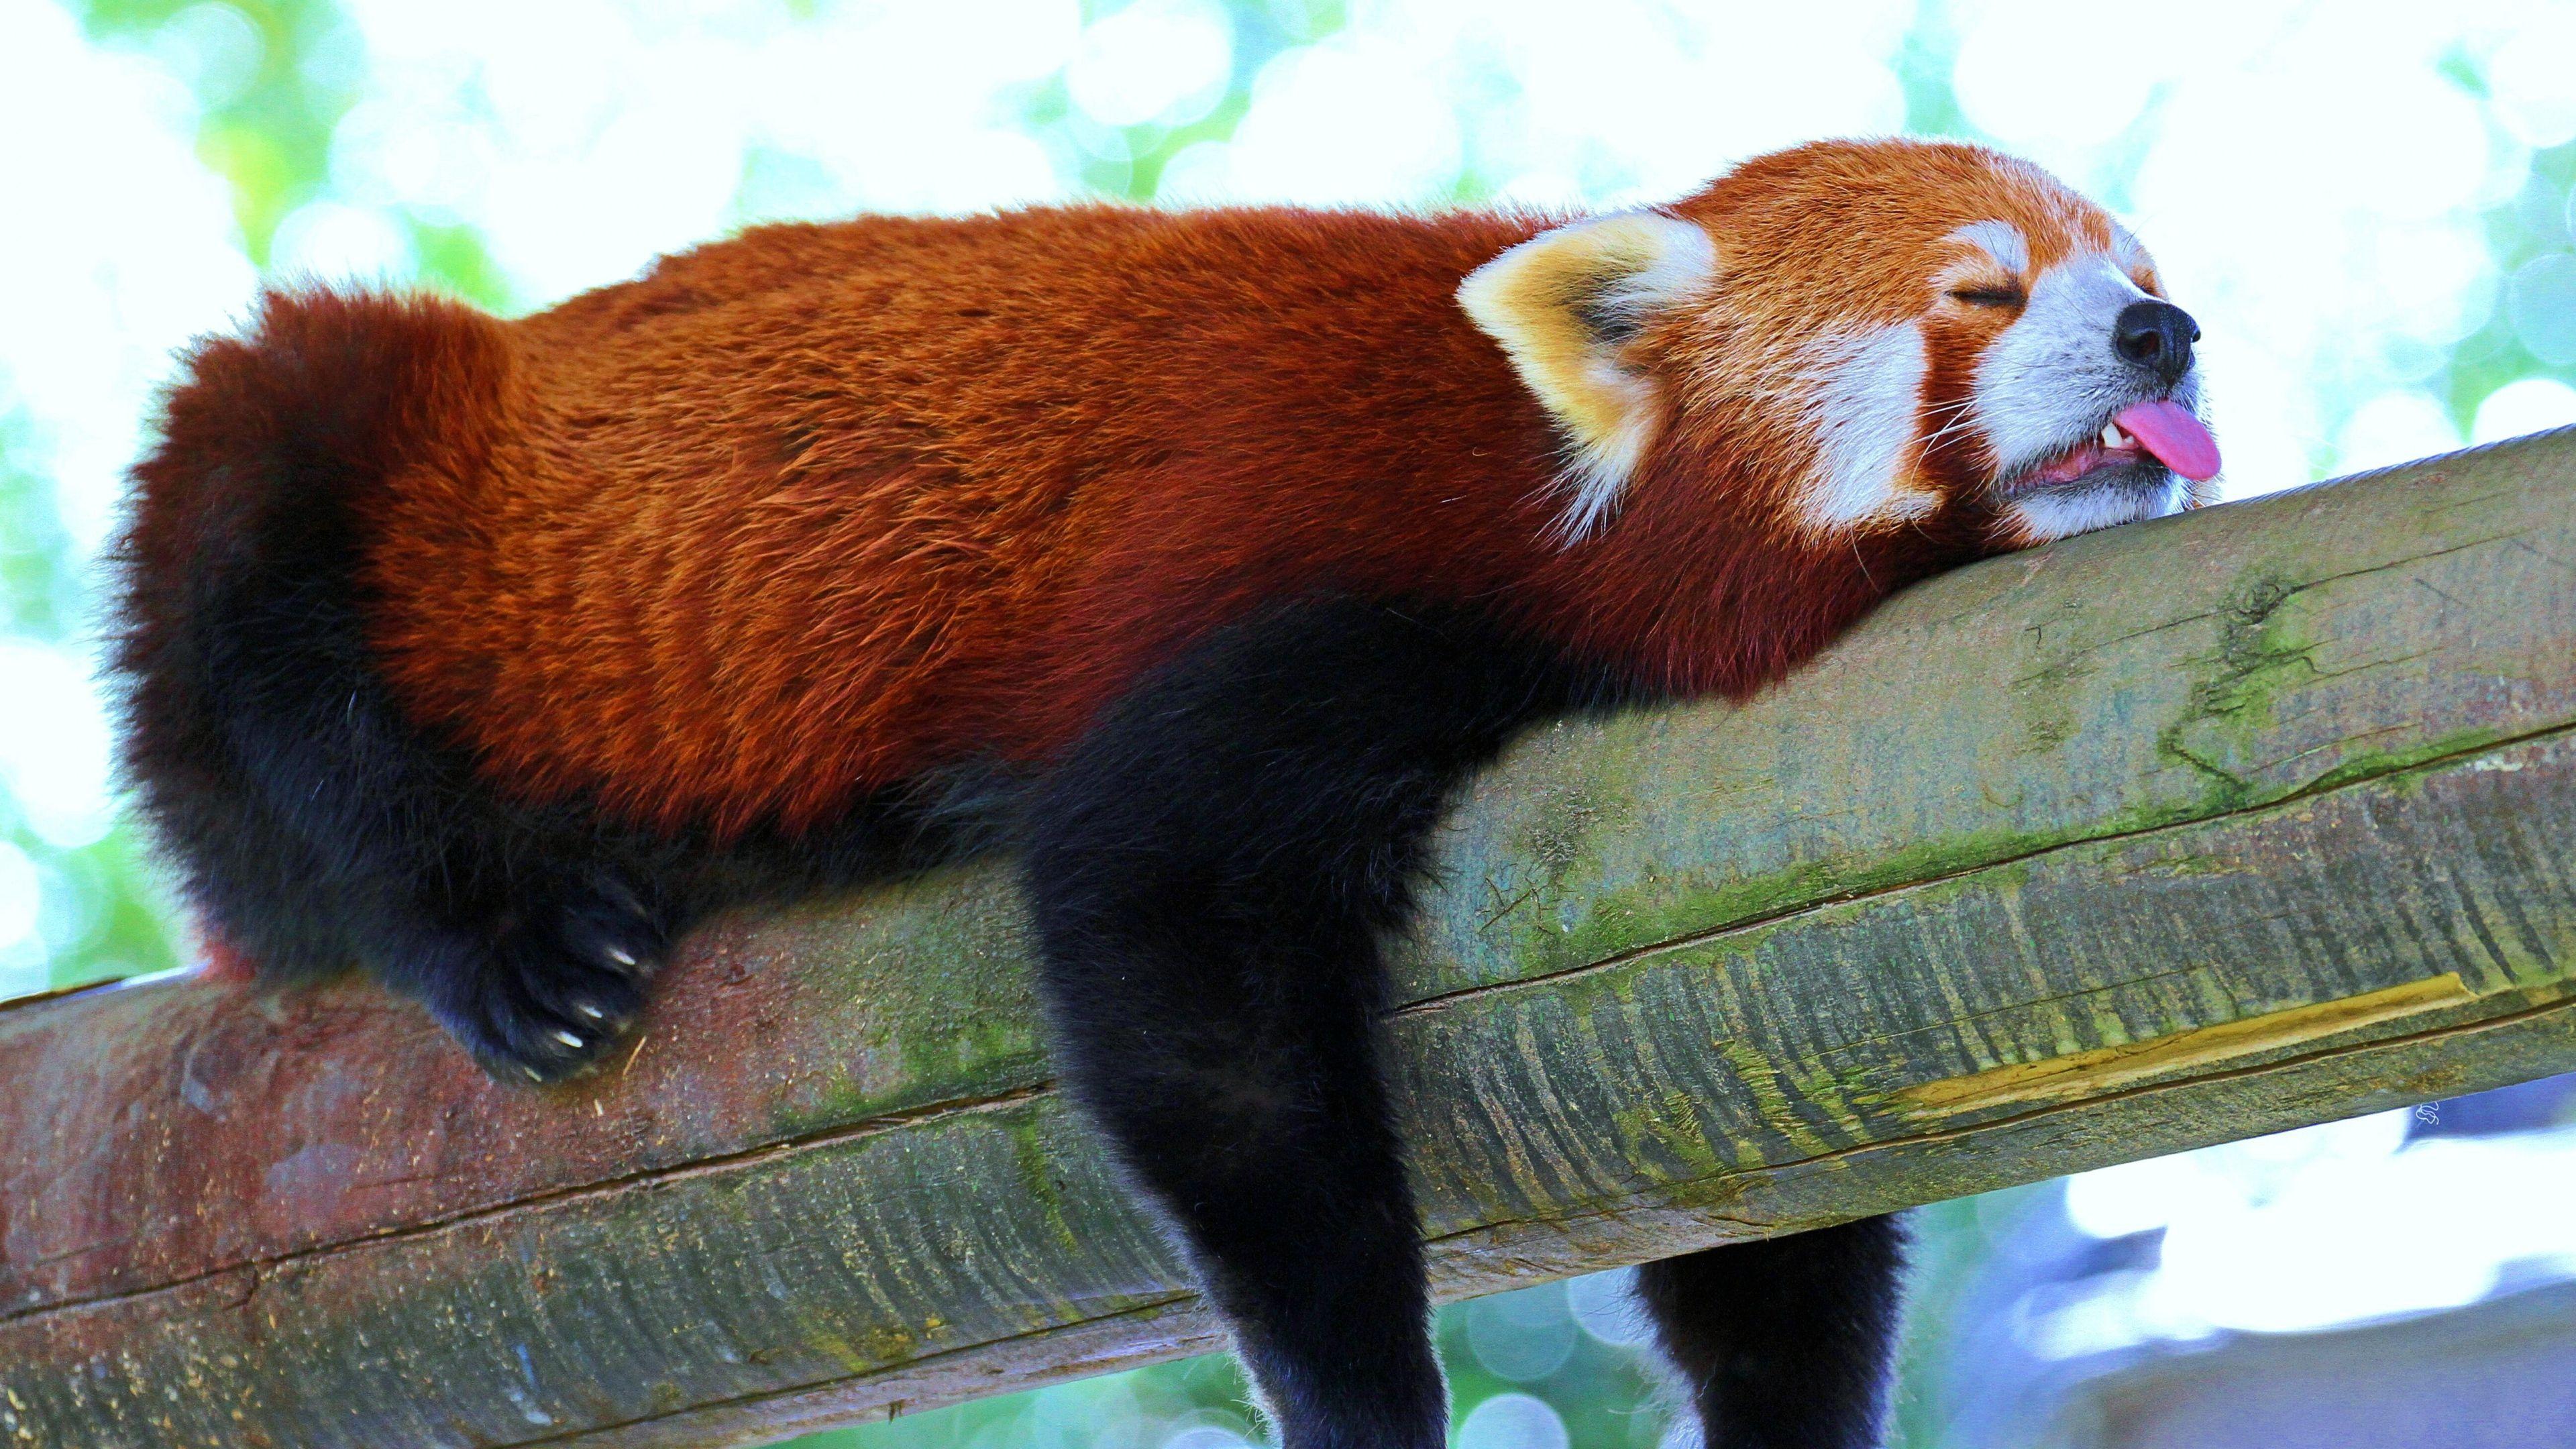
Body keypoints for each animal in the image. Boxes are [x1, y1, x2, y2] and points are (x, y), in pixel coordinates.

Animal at [112, 138, 2217, 1449]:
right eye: (1982, 291)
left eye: (2137, 271)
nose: (2164, 331)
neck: (1537, 473)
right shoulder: (1281, 576)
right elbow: (1181, 973)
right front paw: (1361, 1394)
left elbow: (1755, 1158)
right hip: (359, 478)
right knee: (266, 593)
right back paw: (495, 927)